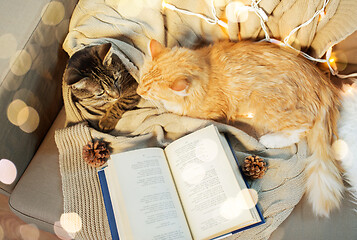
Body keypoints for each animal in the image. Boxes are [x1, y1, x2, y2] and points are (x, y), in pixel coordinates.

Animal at [136, 39, 342, 218]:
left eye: (150, 91)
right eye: (141, 79)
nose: (138, 92)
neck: (207, 72)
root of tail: (320, 80)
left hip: (267, 106)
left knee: (302, 126)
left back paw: (271, 139)